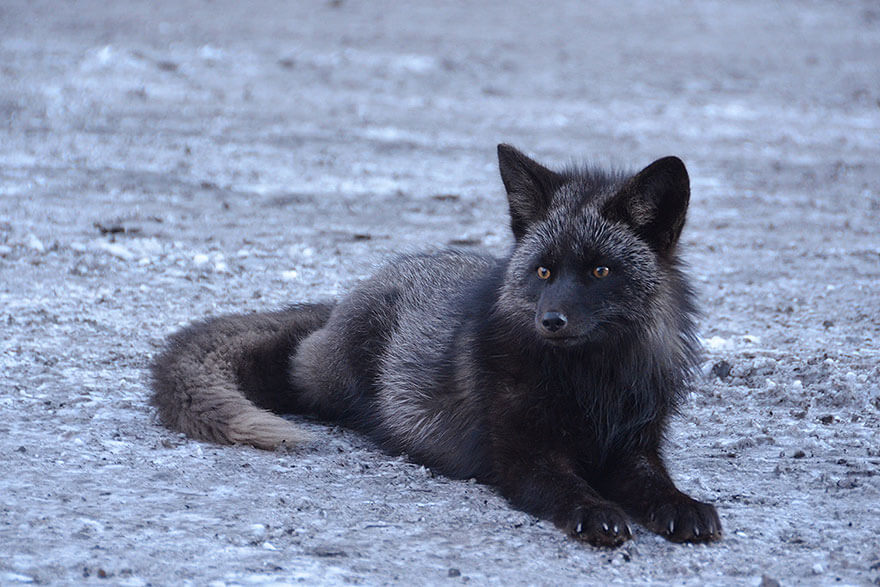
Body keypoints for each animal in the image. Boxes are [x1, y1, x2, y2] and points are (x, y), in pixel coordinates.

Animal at [153, 146, 720, 548]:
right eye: (544, 272)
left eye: (601, 271)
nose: (551, 321)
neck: (593, 384)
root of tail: (344, 301)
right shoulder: (519, 454)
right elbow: (565, 487)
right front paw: (596, 510)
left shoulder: (635, 446)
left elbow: (658, 484)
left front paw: (683, 505)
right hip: (334, 378)